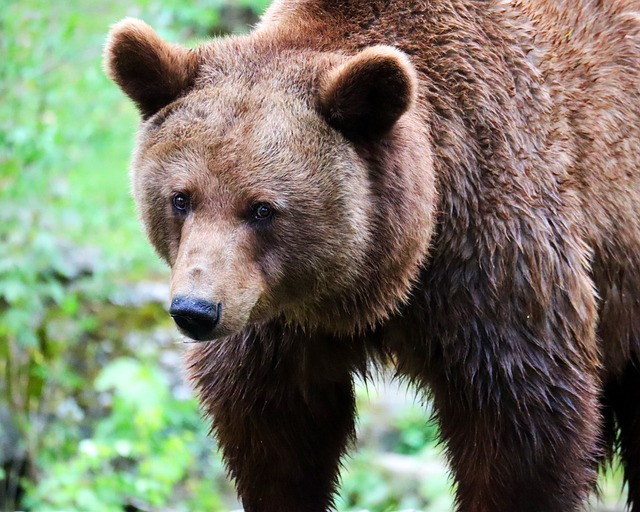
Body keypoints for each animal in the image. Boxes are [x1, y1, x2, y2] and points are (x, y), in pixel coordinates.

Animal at [104, 2, 640, 510]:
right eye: (181, 198)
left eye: (262, 209)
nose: (195, 310)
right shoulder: (276, 321)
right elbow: (275, 434)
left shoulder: (492, 263)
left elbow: (521, 426)